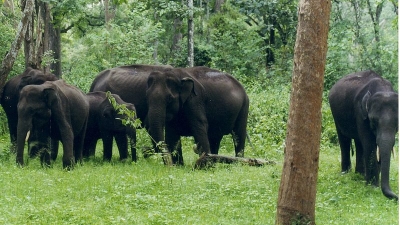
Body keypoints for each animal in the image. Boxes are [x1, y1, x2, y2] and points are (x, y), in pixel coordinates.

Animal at [330, 70, 398, 199]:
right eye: (374, 122)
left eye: (397, 124)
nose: (396, 197)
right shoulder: (360, 113)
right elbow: (370, 144)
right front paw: (373, 186)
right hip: (336, 115)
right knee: (344, 140)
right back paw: (346, 174)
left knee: (358, 143)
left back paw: (360, 175)